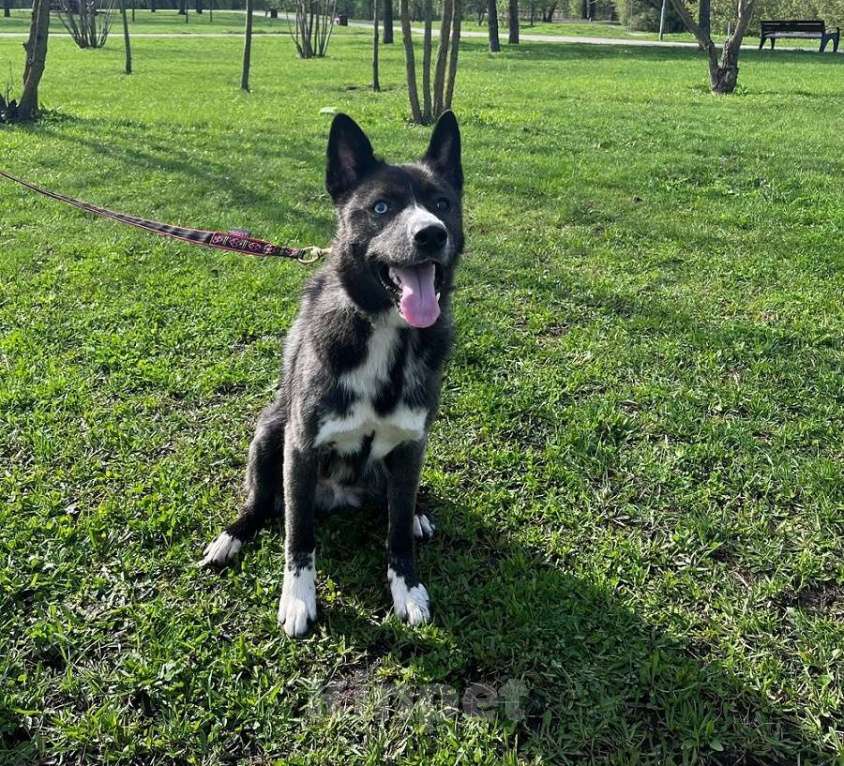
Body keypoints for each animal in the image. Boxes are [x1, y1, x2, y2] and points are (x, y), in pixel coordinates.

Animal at [199, 111, 464, 640]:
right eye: (381, 207)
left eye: (442, 204)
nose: (432, 234)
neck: (384, 333)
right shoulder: (300, 448)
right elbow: (299, 536)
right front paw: (299, 599)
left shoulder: (412, 445)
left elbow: (397, 533)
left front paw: (407, 588)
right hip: (269, 431)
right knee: (261, 501)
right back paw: (233, 536)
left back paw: (421, 513)